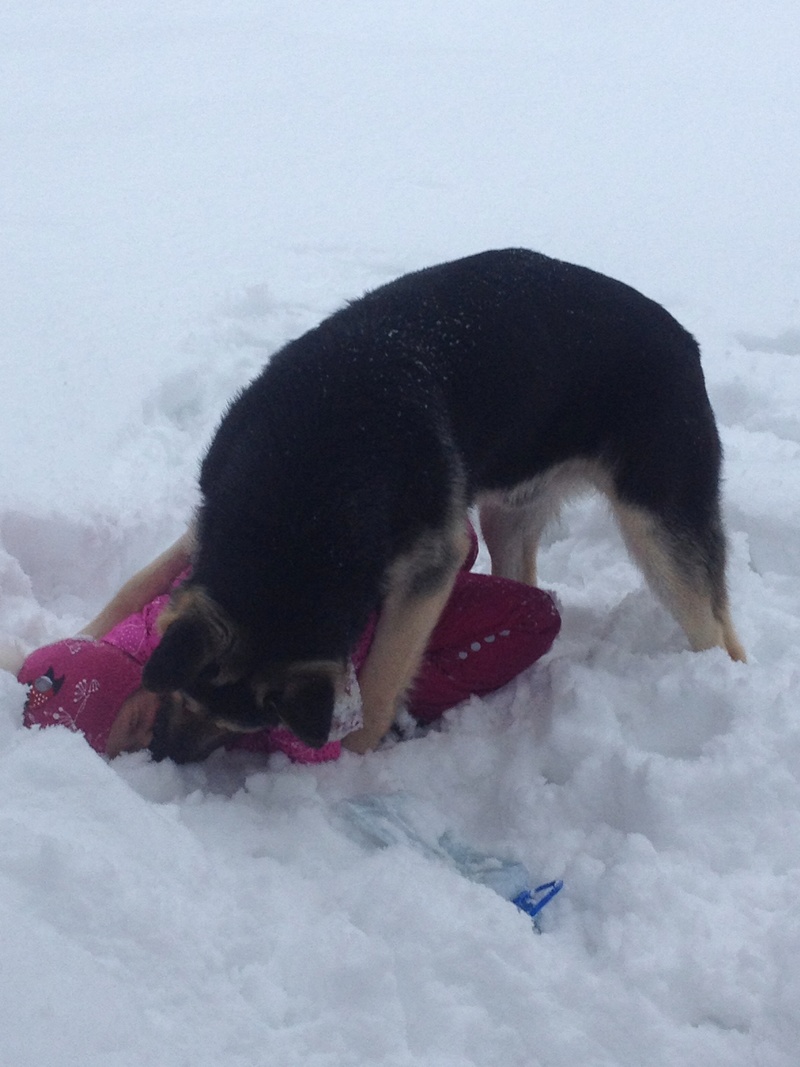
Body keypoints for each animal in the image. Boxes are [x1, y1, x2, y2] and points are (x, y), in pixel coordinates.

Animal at [142, 245, 746, 763]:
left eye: (244, 725)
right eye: (182, 698)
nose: (162, 757)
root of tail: (684, 340)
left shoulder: (430, 565)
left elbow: (381, 683)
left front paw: (350, 761)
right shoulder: (210, 513)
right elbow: (139, 582)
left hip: (657, 530)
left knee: (713, 628)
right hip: (509, 513)